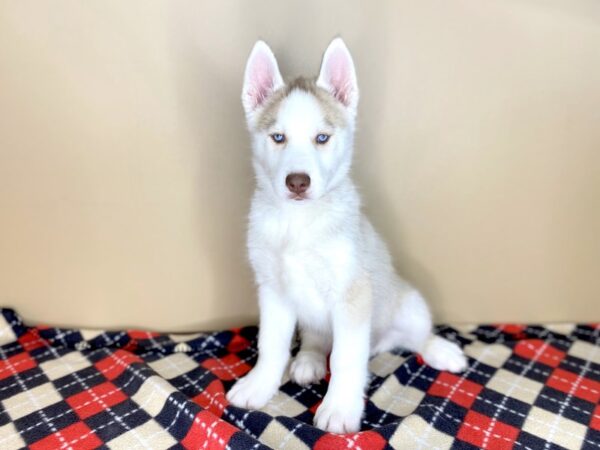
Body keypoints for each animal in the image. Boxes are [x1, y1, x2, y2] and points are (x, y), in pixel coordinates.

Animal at [227, 39, 466, 436]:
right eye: (278, 138)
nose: (297, 182)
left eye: (322, 138)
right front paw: (259, 385)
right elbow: (271, 344)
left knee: (416, 336)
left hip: (408, 306)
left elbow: (345, 358)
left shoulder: (353, 295)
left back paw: (441, 351)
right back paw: (308, 361)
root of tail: (382, 341)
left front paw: (339, 407)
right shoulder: (273, 290)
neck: (299, 223)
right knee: (317, 340)